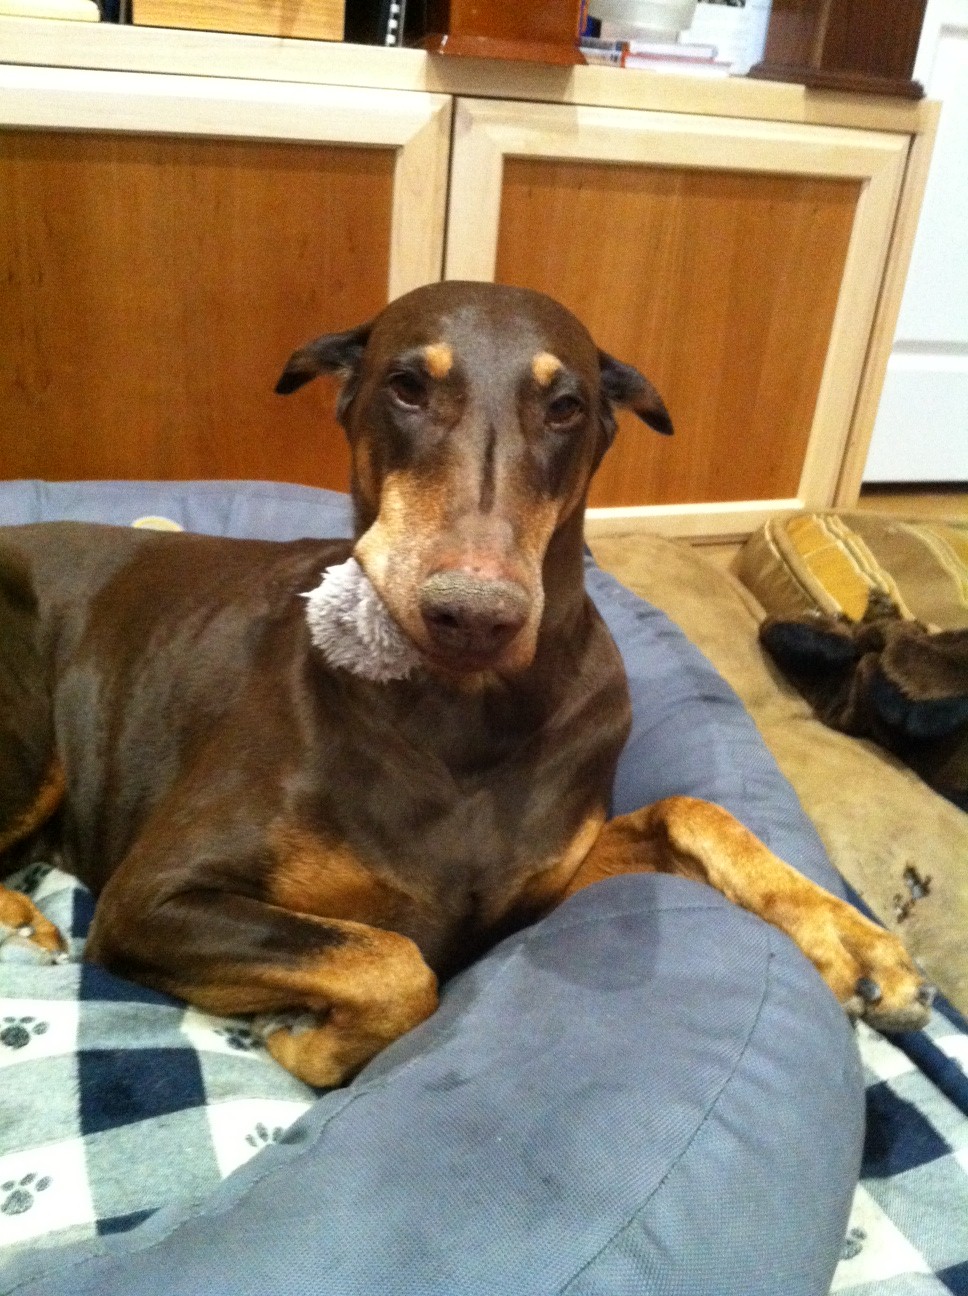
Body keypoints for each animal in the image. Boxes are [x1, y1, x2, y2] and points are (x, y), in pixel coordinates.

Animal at [0, 282, 931, 1088]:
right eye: (407, 387)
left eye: (566, 406)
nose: (475, 614)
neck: (463, 713)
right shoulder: (153, 896)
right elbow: (395, 963)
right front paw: (304, 1042)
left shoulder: (537, 893)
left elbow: (692, 810)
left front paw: (860, 947)